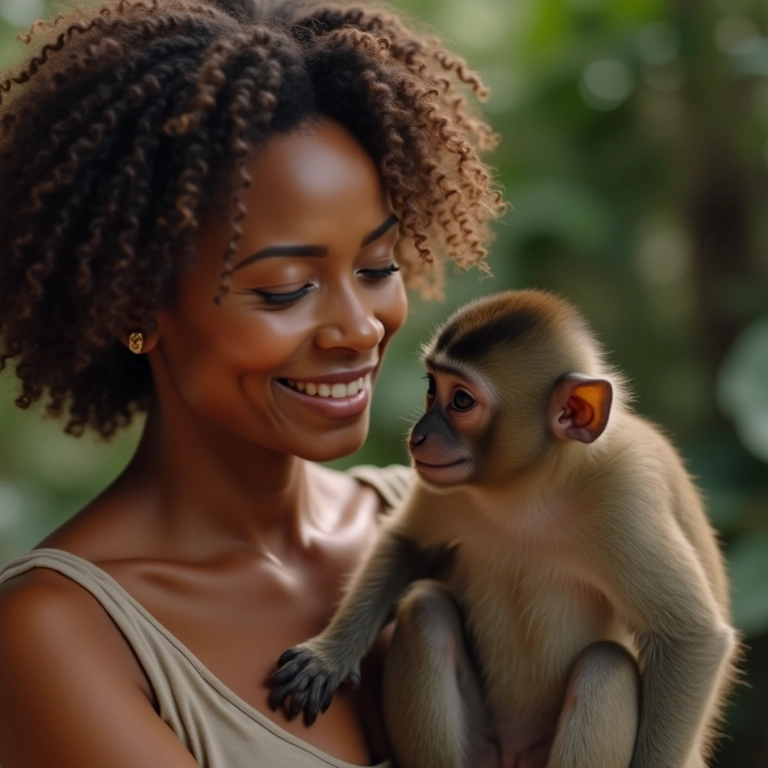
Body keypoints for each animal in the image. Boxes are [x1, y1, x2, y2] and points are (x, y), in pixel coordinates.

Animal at [269, 289, 738, 768]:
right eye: (431, 388)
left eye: (461, 401)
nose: (418, 436)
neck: (528, 490)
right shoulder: (446, 490)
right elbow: (408, 543)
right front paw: (328, 657)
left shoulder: (624, 495)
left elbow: (692, 638)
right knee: (425, 610)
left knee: (605, 667)